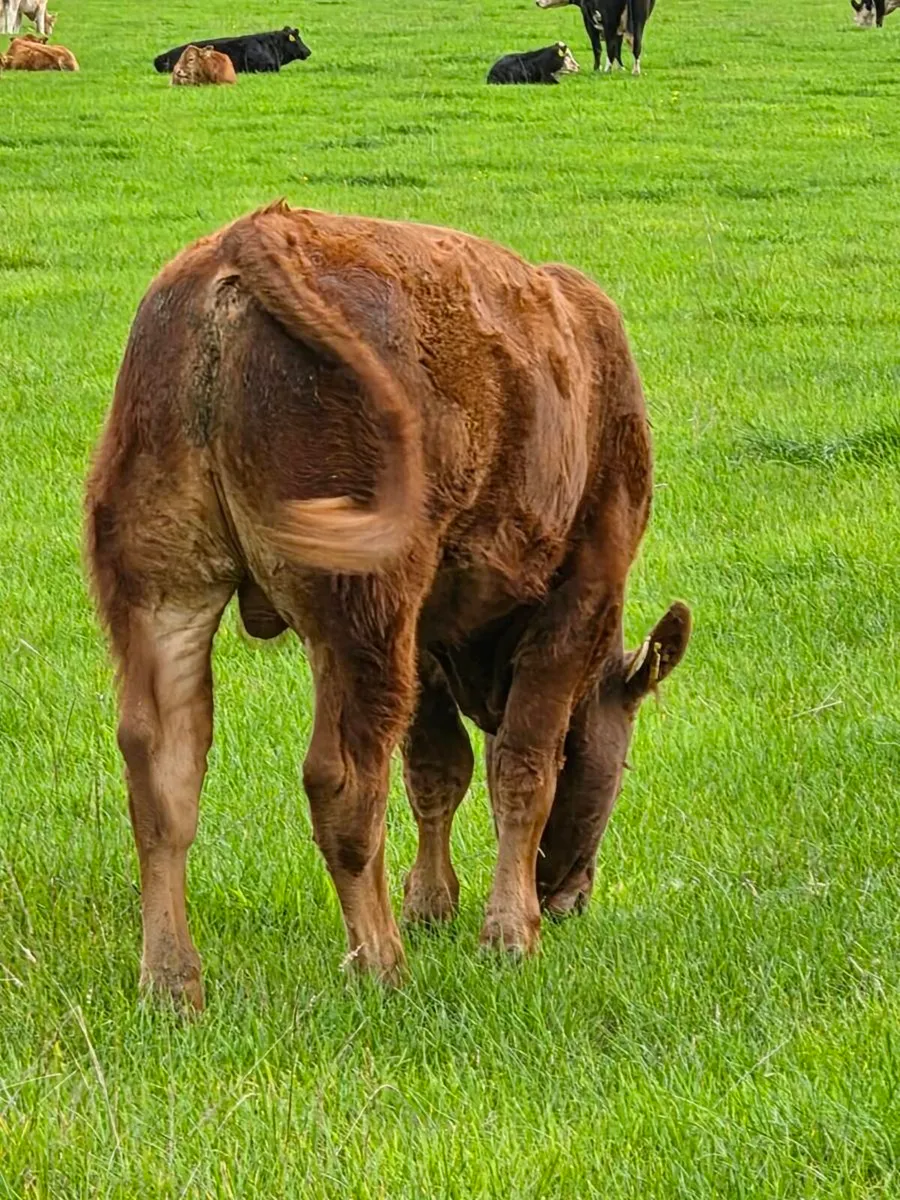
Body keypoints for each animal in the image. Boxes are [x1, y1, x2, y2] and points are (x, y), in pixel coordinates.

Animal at [84, 201, 691, 1011]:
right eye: (622, 764)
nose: (571, 896)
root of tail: (250, 235)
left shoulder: (427, 634)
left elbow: (437, 765)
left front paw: (431, 903)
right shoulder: (578, 596)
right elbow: (521, 769)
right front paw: (507, 933)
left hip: (164, 589)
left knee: (162, 776)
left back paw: (172, 981)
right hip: (360, 609)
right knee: (341, 780)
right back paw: (380, 961)